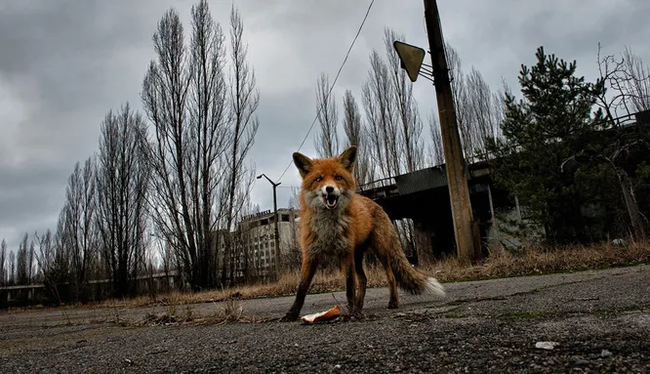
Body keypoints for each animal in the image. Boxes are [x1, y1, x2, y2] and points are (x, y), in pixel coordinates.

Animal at [280, 146, 442, 322]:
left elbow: (350, 286)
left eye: (338, 177)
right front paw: (291, 314)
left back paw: (391, 302)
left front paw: (351, 313)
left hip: (379, 251)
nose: (329, 189)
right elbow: (301, 289)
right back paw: (359, 306)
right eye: (319, 179)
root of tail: (377, 204)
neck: (329, 227)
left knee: (390, 276)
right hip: (357, 256)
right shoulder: (310, 254)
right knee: (364, 279)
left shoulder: (345, 252)